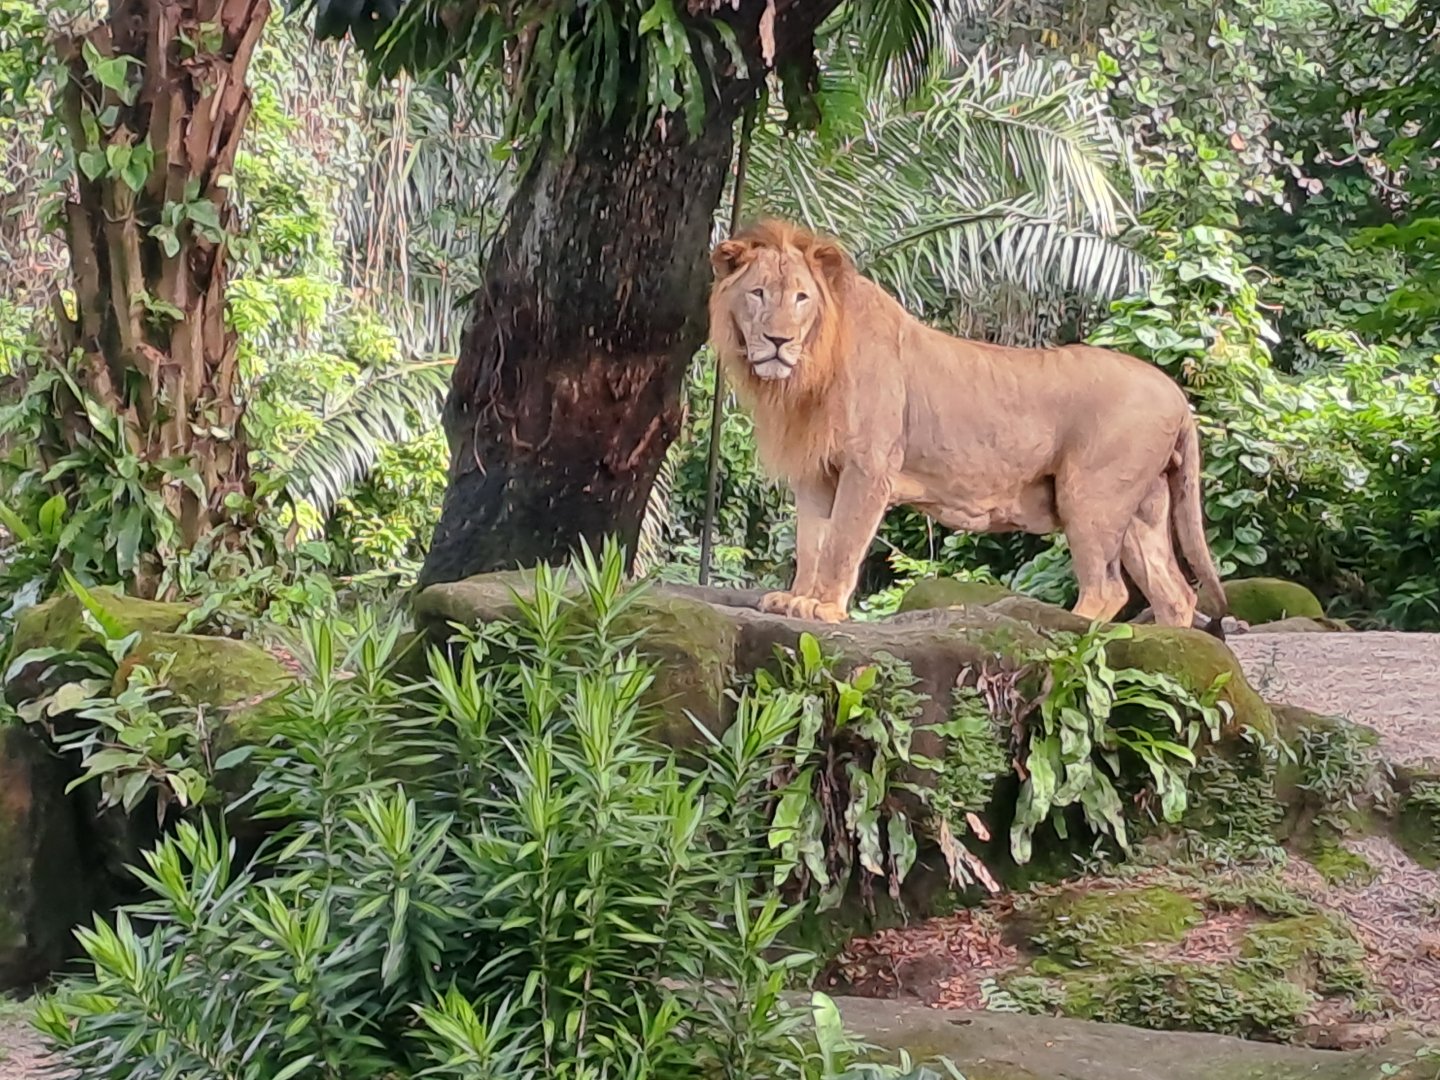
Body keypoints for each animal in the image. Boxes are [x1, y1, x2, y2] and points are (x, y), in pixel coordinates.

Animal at [707, 219, 1227, 636]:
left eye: (801, 298)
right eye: (758, 293)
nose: (777, 340)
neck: (806, 373)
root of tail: (1177, 396)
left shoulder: (869, 466)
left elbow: (841, 544)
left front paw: (824, 609)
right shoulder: (815, 474)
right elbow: (811, 543)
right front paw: (796, 599)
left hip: (1090, 496)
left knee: (1108, 589)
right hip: (1142, 508)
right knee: (1175, 592)